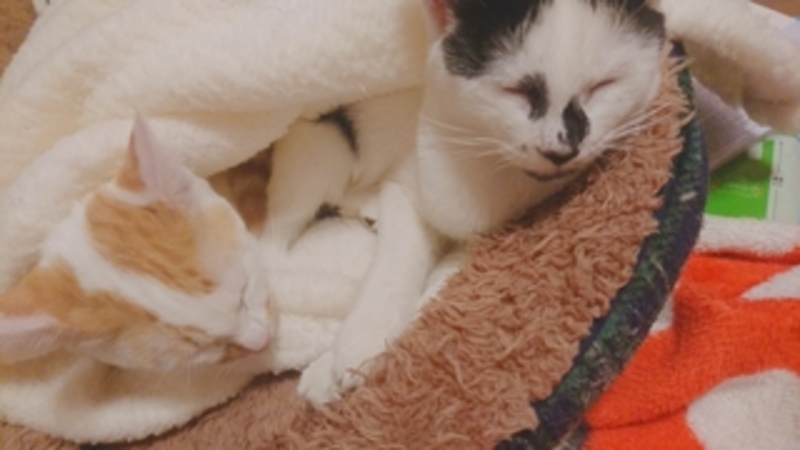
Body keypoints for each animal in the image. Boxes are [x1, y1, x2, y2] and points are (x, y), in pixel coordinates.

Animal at [297, 0, 666, 405]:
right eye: (514, 91)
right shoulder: (413, 180)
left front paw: (340, 365)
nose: (560, 149)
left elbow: (443, 294)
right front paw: (359, 341)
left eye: (603, 85)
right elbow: (396, 261)